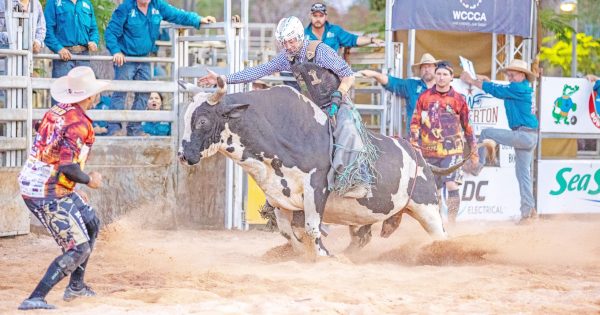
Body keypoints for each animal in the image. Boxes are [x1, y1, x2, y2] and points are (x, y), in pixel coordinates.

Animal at [180, 78, 458, 256]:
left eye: (202, 121)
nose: (183, 155)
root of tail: (420, 157)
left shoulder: (316, 187)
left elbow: (312, 228)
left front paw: (322, 255)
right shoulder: (279, 197)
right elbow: (287, 231)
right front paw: (302, 253)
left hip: (427, 208)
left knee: (441, 235)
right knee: (363, 236)